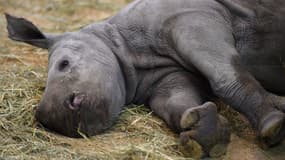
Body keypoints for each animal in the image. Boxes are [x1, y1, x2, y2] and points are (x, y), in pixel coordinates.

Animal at [5, 0, 285, 158]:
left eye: (64, 64)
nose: (51, 118)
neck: (126, 47)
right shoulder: (166, 75)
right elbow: (178, 102)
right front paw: (204, 135)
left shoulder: (193, 17)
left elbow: (225, 77)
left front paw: (273, 126)